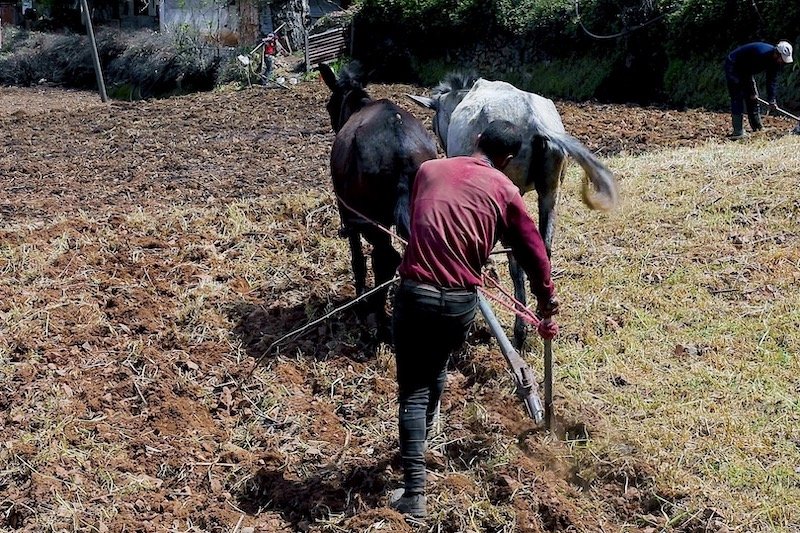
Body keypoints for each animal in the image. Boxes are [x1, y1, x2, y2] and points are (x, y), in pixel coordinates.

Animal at [410, 75, 616, 348]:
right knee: (543, 250)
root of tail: (535, 121)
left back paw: (520, 328)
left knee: (516, 262)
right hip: (550, 192)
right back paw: (541, 311)